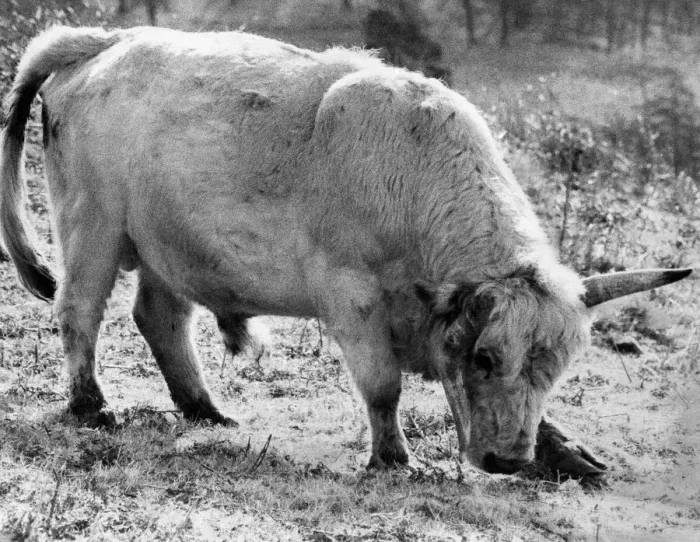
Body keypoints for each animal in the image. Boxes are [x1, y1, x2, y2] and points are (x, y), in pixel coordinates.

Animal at [0, 26, 691, 478]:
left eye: (558, 366)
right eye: (487, 357)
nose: (505, 459)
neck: (412, 176)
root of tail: (104, 43)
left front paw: (562, 450)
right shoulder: (353, 303)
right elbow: (383, 387)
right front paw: (393, 458)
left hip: (168, 246)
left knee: (160, 318)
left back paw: (205, 410)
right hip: (93, 228)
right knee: (79, 312)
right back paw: (92, 407)